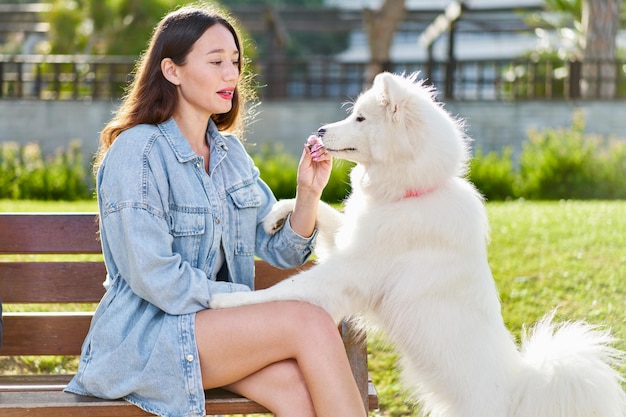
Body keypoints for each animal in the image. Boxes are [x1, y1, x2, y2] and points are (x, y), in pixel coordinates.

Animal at [211, 72, 624, 416]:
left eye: (360, 119)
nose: (320, 129)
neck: (409, 194)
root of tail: (523, 391)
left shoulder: (347, 272)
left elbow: (279, 291)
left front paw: (223, 300)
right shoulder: (347, 245)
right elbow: (315, 212)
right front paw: (273, 216)